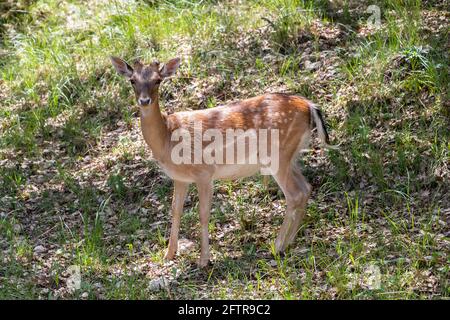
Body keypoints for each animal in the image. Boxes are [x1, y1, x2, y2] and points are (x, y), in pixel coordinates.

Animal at [110, 56, 332, 266]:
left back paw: (277, 246)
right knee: (306, 188)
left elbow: (203, 213)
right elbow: (175, 211)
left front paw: (203, 260)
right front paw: (168, 254)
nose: (144, 101)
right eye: (132, 80)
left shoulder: (204, 173)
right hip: (290, 156)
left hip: (278, 154)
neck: (167, 137)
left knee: (295, 194)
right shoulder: (180, 178)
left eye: (157, 80)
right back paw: (289, 241)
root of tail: (310, 106)